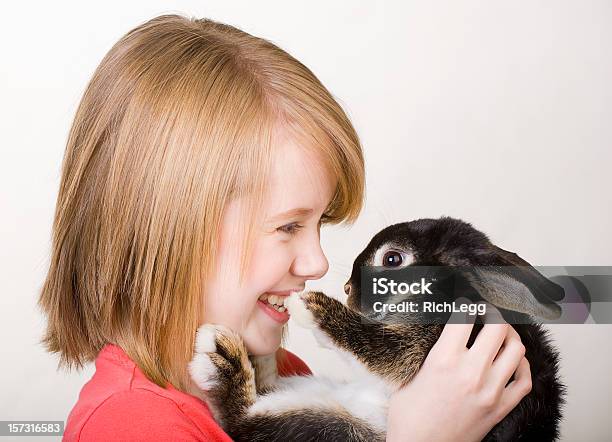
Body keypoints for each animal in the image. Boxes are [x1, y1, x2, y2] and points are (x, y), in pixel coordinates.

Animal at [189, 216, 568, 440]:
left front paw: (311, 306)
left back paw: (222, 358)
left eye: (392, 259)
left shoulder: (418, 347)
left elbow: (372, 346)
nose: (347, 289)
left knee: (241, 421)